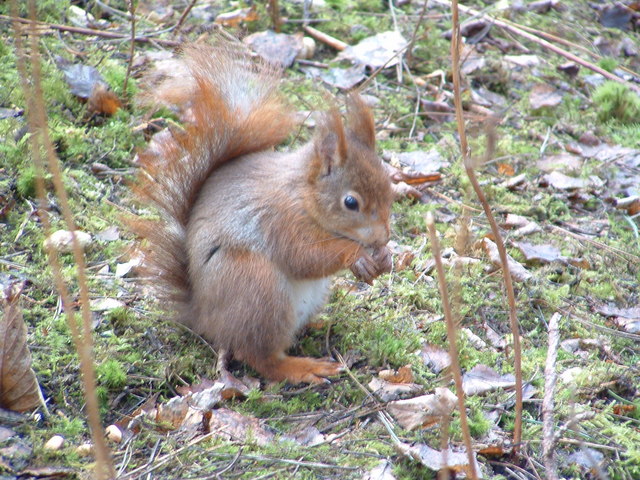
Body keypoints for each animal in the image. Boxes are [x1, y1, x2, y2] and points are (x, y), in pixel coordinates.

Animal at [132, 43, 392, 384]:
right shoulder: (281, 221)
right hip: (257, 288)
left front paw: (386, 258)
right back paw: (302, 367)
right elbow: (304, 256)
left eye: (390, 184)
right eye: (351, 202)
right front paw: (357, 255)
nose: (383, 238)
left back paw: (319, 324)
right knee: (260, 356)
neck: (302, 195)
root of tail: (203, 318)